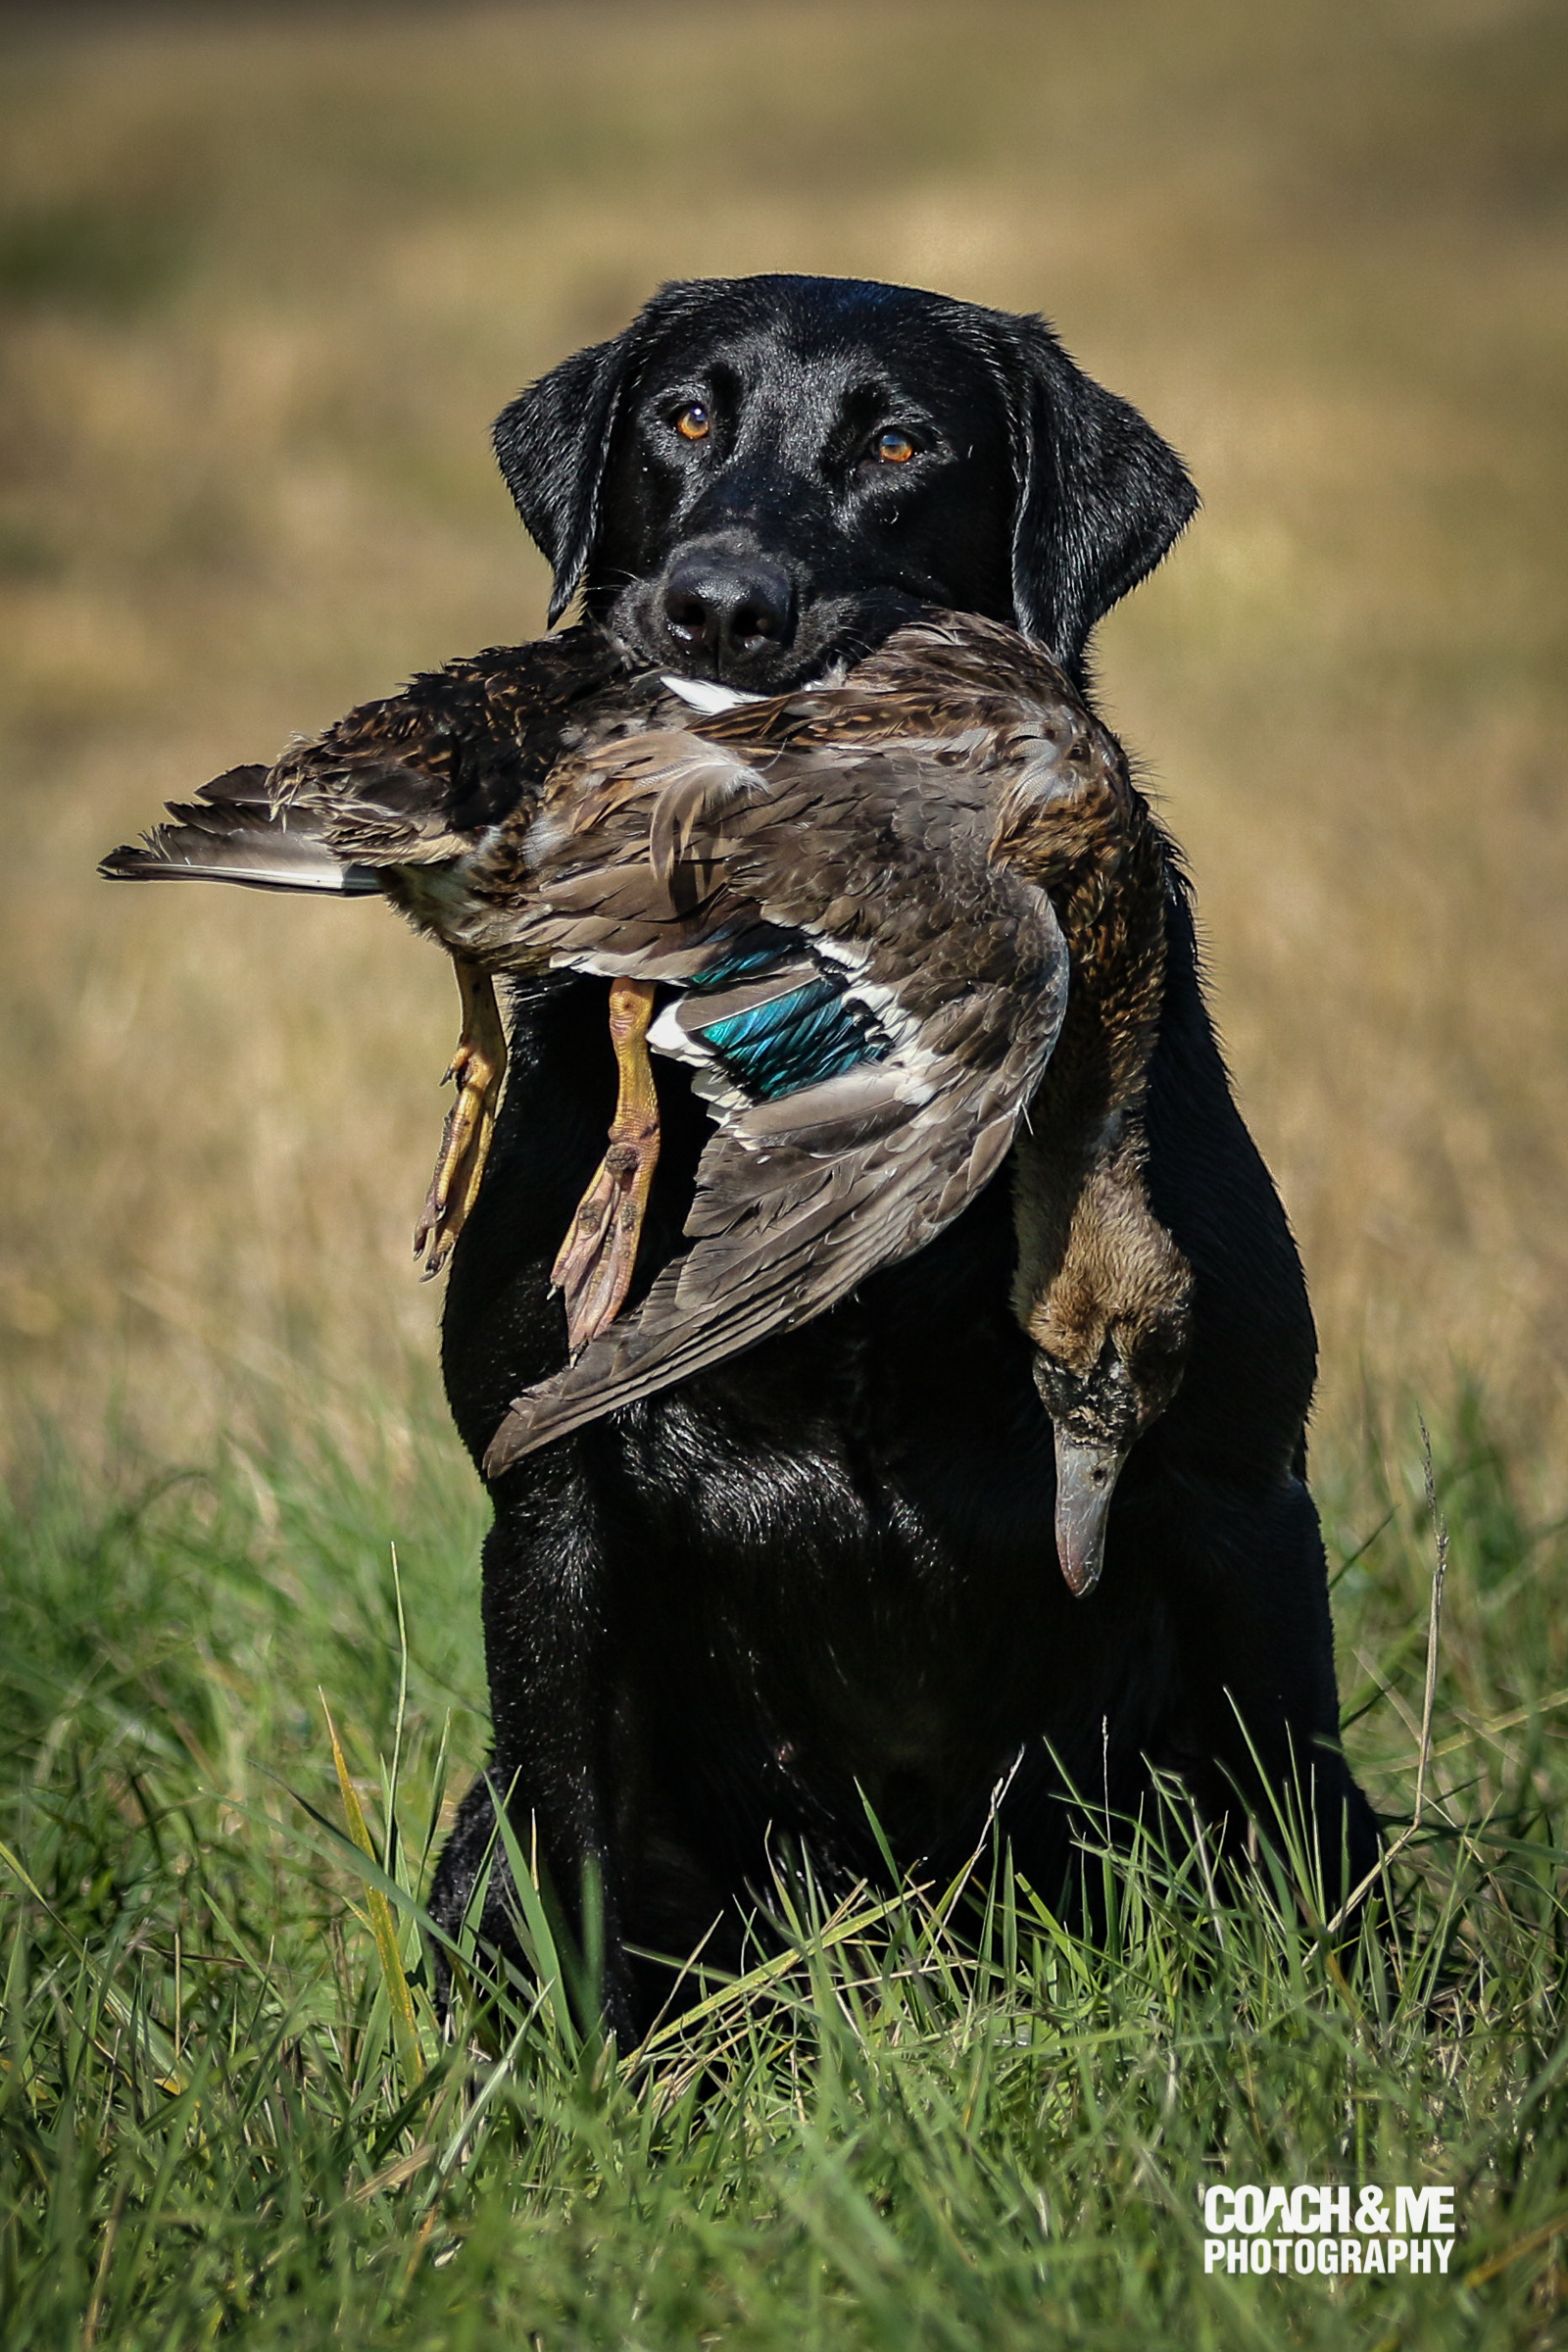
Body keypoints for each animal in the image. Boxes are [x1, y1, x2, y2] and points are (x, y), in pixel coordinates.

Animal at [429, 274, 1372, 2032]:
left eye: (901, 444)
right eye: (683, 417)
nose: (718, 611)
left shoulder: (1236, 1486)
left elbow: (1293, 1817)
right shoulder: (551, 1506)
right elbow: (574, 1874)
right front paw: (577, 2096)